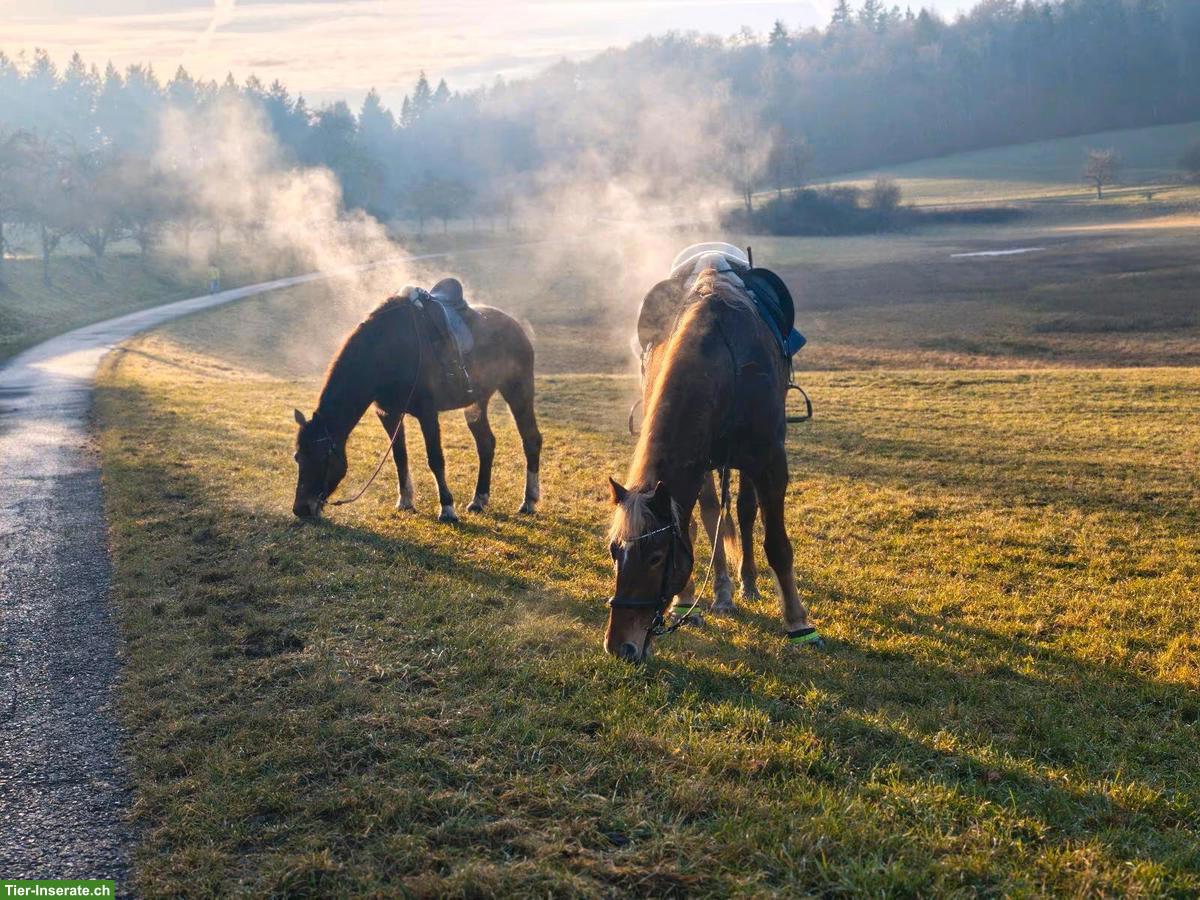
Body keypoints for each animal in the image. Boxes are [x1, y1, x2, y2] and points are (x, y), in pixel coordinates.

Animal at [292, 279, 542, 522]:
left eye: (322, 457)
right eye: (298, 457)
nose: (301, 509)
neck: (387, 352)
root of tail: (516, 327)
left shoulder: (427, 413)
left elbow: (435, 458)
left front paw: (447, 508)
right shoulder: (388, 414)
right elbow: (399, 457)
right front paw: (405, 501)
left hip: (517, 391)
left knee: (531, 439)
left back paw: (529, 501)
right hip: (476, 403)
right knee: (486, 444)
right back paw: (479, 500)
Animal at [605, 261, 820, 662]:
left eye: (656, 557)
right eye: (615, 551)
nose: (620, 646)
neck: (725, 361)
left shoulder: (770, 463)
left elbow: (777, 545)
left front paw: (799, 623)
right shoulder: (696, 464)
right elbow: (694, 525)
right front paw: (687, 602)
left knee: (746, 512)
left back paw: (747, 584)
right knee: (710, 517)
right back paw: (715, 595)